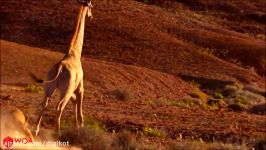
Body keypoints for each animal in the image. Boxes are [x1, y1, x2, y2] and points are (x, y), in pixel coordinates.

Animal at [33, 0, 92, 136]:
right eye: (91, 6)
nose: (91, 16)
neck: (74, 54)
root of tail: (60, 67)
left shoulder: (73, 91)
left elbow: (75, 103)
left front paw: (77, 128)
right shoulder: (80, 88)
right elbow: (80, 111)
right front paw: (81, 128)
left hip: (49, 87)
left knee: (44, 103)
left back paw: (36, 130)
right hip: (66, 90)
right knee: (59, 106)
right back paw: (57, 132)